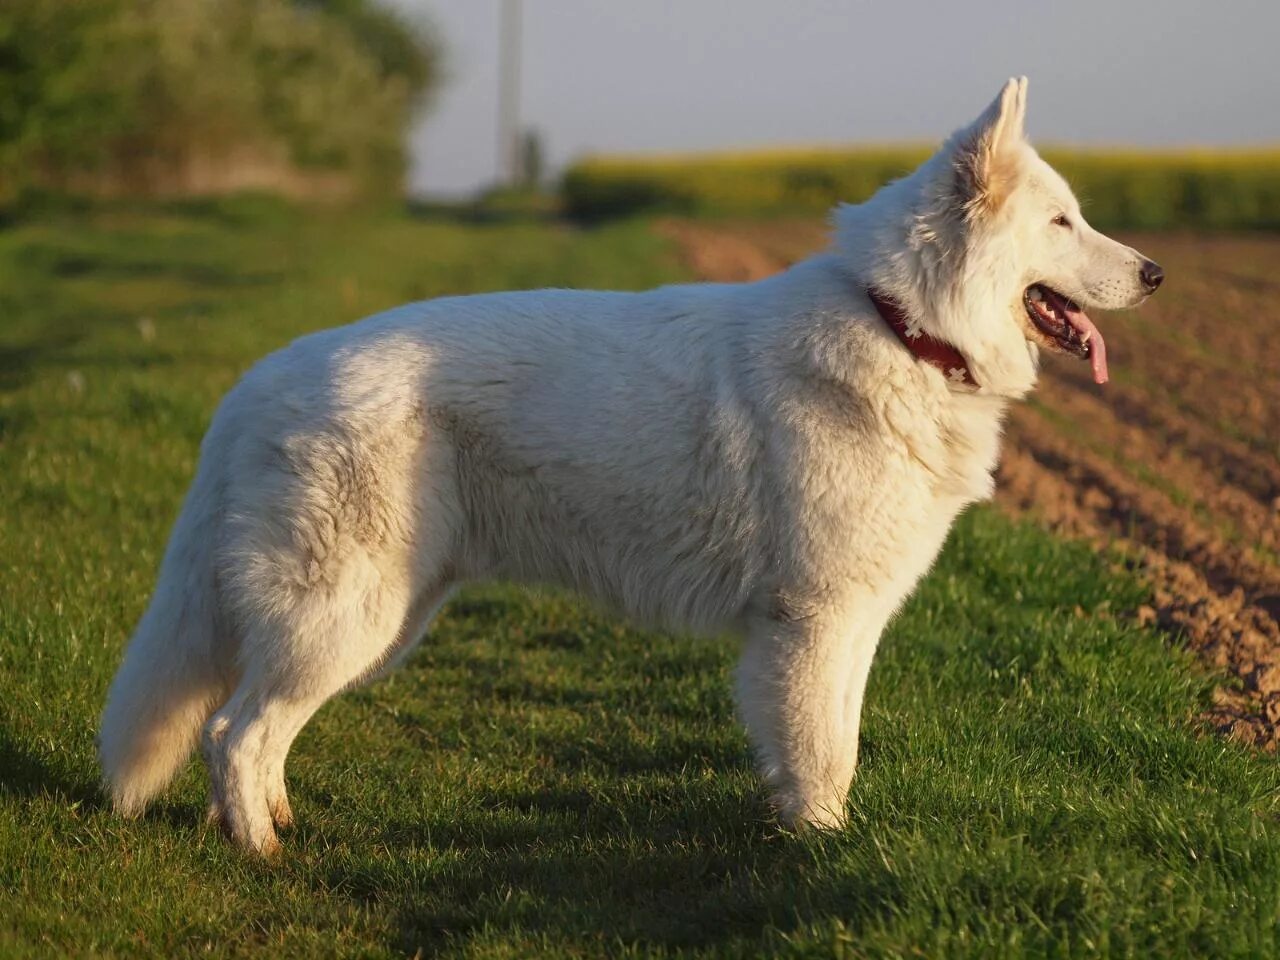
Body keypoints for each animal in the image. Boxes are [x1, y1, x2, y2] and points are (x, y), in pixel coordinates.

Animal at [99, 77, 1162, 855]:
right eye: (1063, 224)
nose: (1157, 274)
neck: (900, 328)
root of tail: (260, 379)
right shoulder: (814, 624)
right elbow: (822, 758)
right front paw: (821, 860)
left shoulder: (850, 624)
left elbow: (837, 746)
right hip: (345, 618)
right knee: (233, 732)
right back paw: (261, 853)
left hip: (381, 619)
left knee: (248, 730)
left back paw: (273, 825)